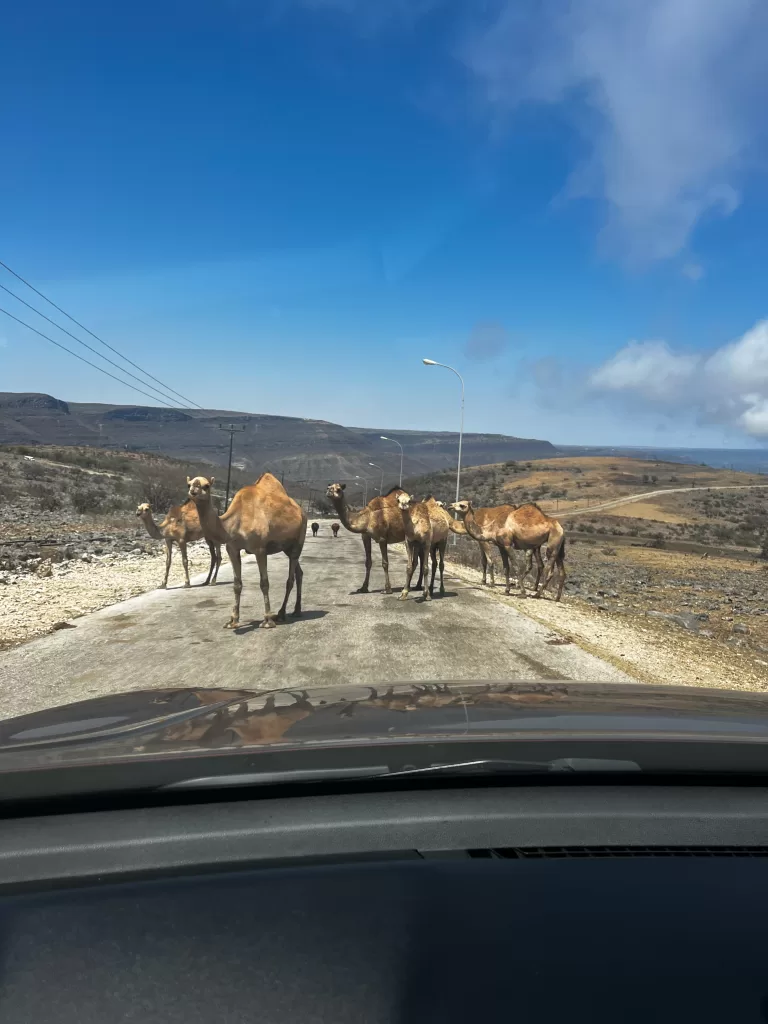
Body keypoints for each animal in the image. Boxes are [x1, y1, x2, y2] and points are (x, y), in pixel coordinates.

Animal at [188, 472, 306, 629]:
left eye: (206, 486)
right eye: (189, 484)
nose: (193, 492)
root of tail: (301, 511)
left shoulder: (260, 549)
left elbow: (264, 583)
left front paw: (267, 621)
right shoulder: (232, 548)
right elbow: (237, 585)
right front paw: (233, 620)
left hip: (299, 540)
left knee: (290, 578)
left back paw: (281, 614)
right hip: (286, 547)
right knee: (299, 572)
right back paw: (296, 610)